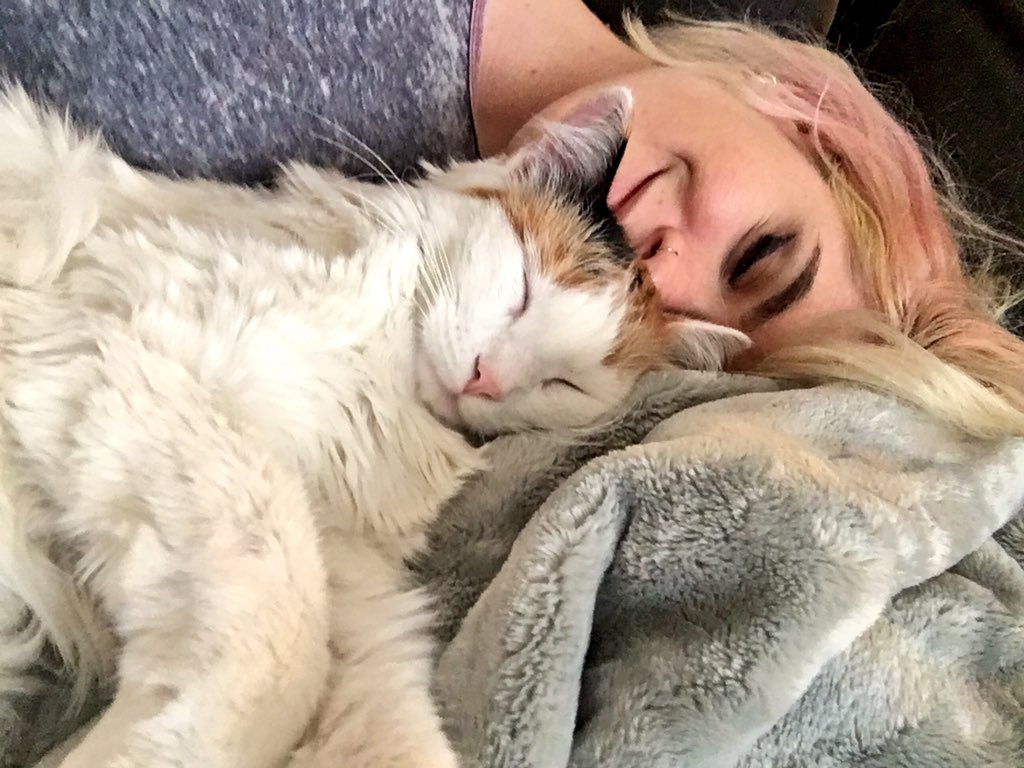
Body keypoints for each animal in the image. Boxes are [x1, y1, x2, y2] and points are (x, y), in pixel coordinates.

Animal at [0, 85, 748, 768]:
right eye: (523, 291)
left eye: (566, 382)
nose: (484, 377)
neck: (384, 387)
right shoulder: (148, 368)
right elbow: (283, 641)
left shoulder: (352, 576)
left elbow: (380, 713)